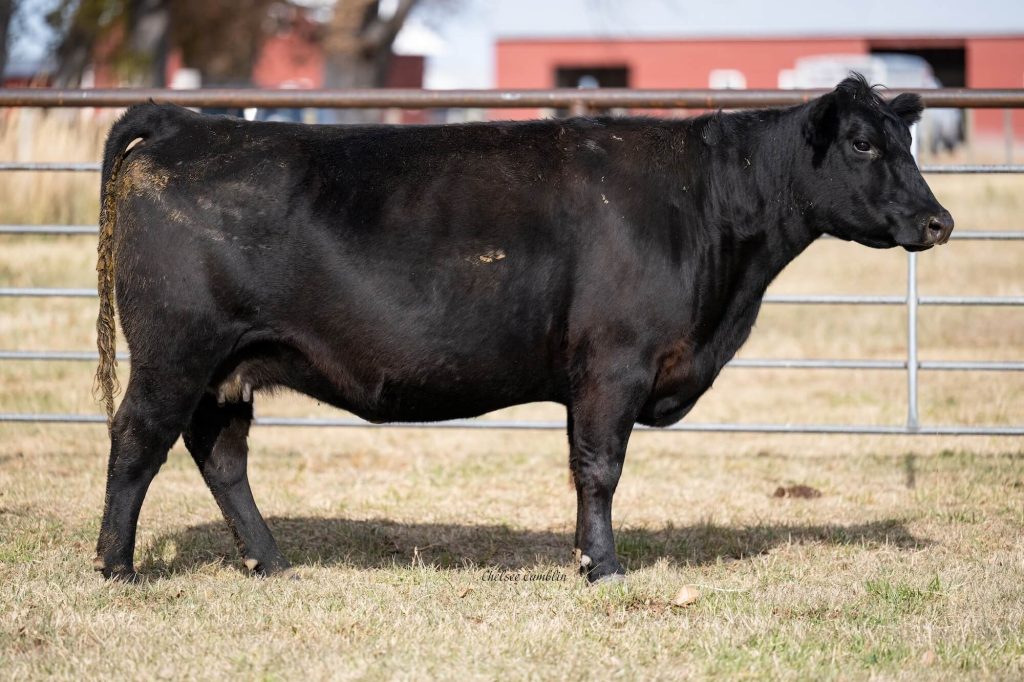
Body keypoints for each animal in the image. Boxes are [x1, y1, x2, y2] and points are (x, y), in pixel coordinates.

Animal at [92, 75, 953, 583]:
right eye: (862, 142)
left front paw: (586, 556)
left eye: (907, 140)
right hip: (175, 351)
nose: (938, 221)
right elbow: (599, 468)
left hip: (229, 365)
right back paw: (117, 567)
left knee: (220, 453)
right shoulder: (614, 364)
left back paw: (269, 562)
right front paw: (602, 567)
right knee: (137, 439)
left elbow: (584, 468)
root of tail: (187, 123)